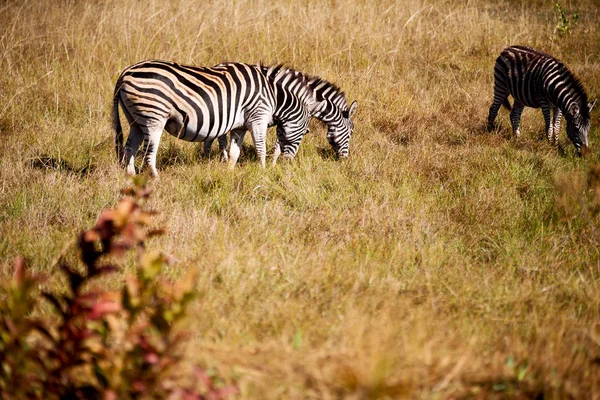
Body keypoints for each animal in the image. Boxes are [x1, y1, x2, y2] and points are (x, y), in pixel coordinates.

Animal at [112, 60, 318, 176]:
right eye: (306, 132)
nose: (287, 163)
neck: (274, 97)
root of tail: (125, 73)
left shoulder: (240, 126)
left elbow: (235, 152)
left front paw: (229, 172)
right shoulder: (257, 117)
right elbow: (260, 148)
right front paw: (263, 171)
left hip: (135, 120)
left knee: (130, 148)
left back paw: (131, 177)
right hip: (153, 117)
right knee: (148, 152)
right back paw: (155, 177)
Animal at [204, 66, 358, 163]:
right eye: (351, 133)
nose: (345, 160)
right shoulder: (288, 121)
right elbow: (280, 146)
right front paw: (274, 165)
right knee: (221, 137)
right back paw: (222, 158)